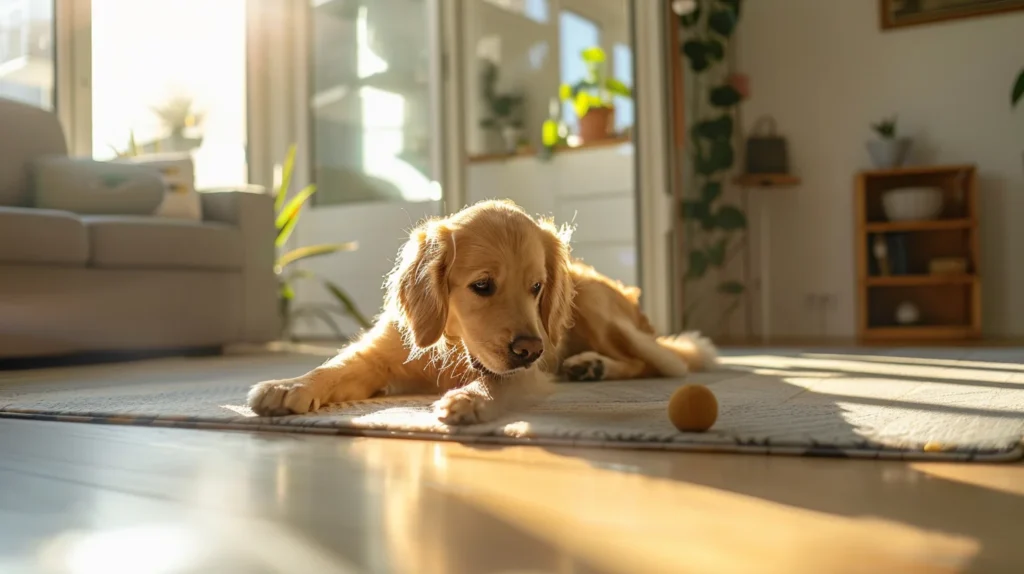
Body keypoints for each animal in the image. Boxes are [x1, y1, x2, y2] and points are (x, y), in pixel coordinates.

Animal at [246, 199, 716, 423]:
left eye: (536, 287)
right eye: (482, 286)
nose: (530, 348)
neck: (453, 344)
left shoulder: (527, 370)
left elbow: (498, 382)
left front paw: (471, 398)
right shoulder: (377, 355)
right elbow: (333, 368)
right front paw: (288, 386)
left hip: (600, 314)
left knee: (662, 363)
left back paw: (595, 365)